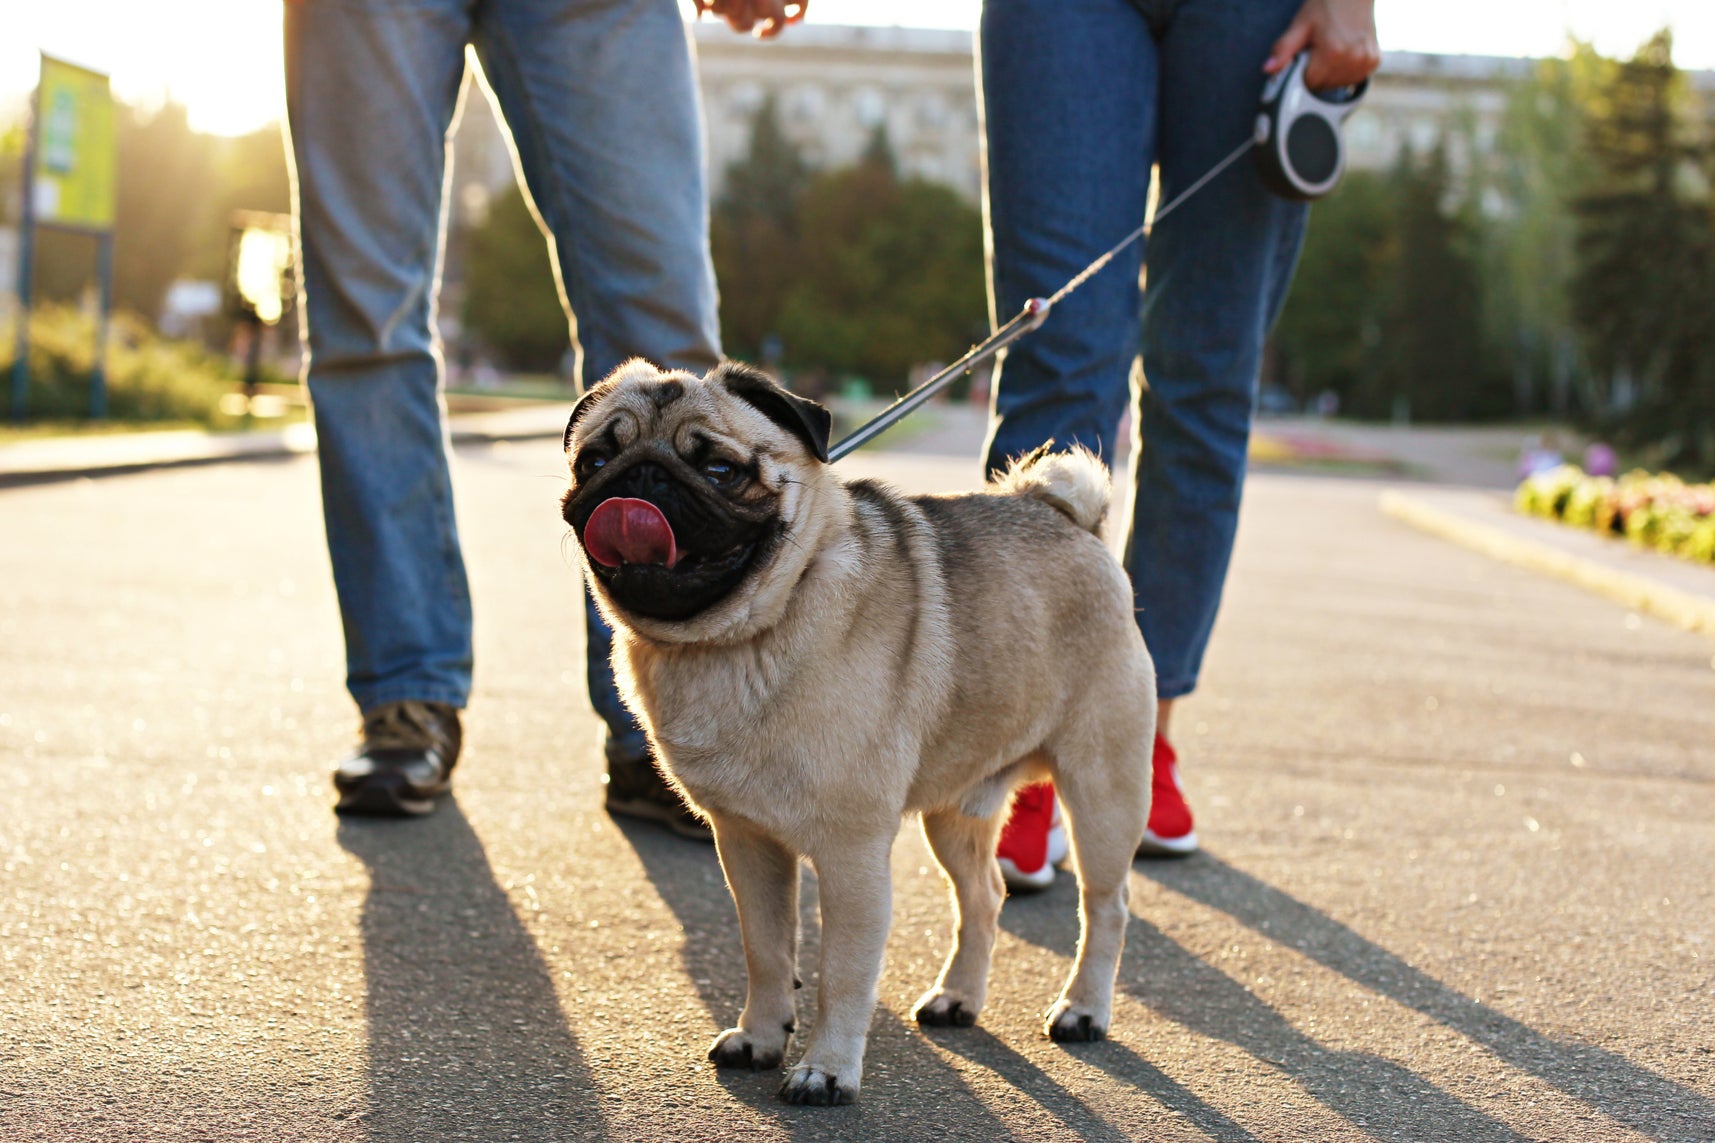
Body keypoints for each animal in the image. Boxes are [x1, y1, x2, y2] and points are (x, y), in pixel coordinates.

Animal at [559, 358, 1152, 1105]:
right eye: (594, 460)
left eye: (720, 469)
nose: (641, 476)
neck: (739, 637)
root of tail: (1072, 522)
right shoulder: (746, 842)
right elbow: (766, 949)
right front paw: (759, 1036)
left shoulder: (851, 854)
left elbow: (841, 973)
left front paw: (826, 1068)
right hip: (955, 811)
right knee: (983, 898)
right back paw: (958, 997)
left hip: (1101, 791)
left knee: (1106, 905)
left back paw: (1083, 1008)